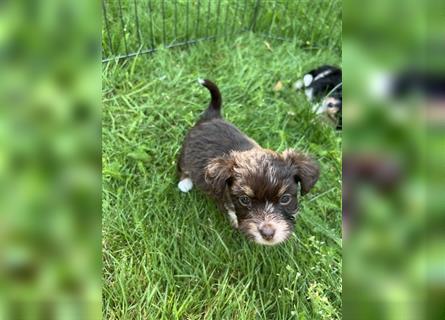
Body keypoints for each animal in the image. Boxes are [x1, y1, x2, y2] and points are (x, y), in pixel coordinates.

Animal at [177, 79, 320, 245]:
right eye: (244, 200)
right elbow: (231, 210)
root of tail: (212, 116)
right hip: (185, 153)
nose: (267, 234)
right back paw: (185, 183)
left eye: (285, 198)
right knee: (182, 167)